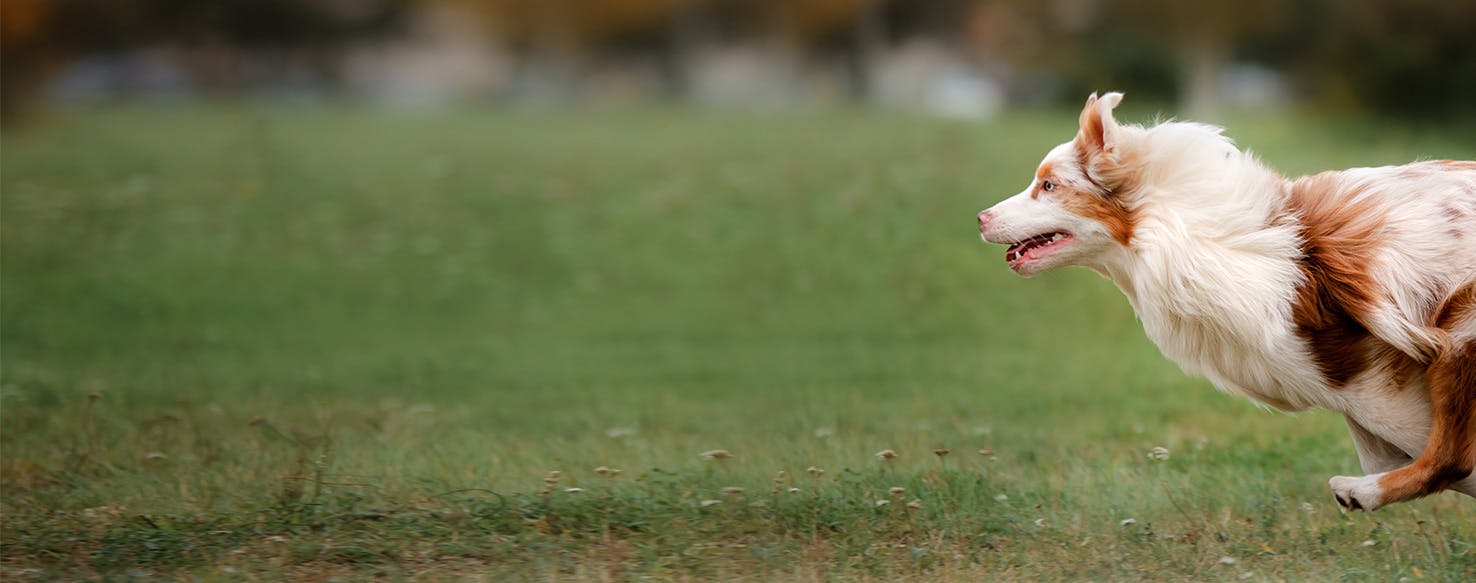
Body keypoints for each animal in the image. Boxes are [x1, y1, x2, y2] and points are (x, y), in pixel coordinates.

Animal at [974, 91, 1470, 510]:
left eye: (1049, 185)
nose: (980, 217)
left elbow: (1453, 459)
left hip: (1461, 328)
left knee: (1448, 457)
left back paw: (1359, 491)